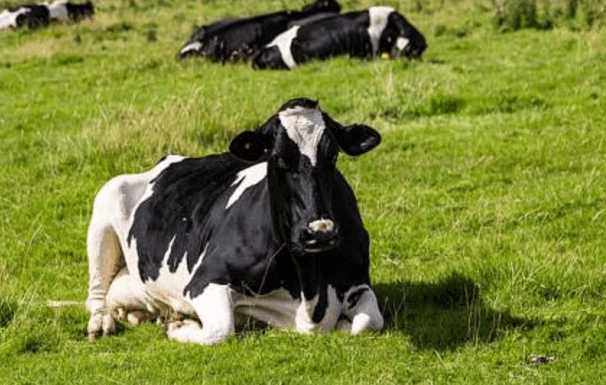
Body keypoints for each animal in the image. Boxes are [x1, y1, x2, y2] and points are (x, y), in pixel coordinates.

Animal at [86, 97, 384, 344]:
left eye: (332, 155)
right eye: (277, 158)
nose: (320, 231)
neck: (310, 290)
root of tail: (169, 159)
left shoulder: (358, 280)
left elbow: (369, 323)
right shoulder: (204, 279)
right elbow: (220, 329)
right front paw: (179, 327)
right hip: (106, 200)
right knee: (97, 292)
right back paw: (102, 323)